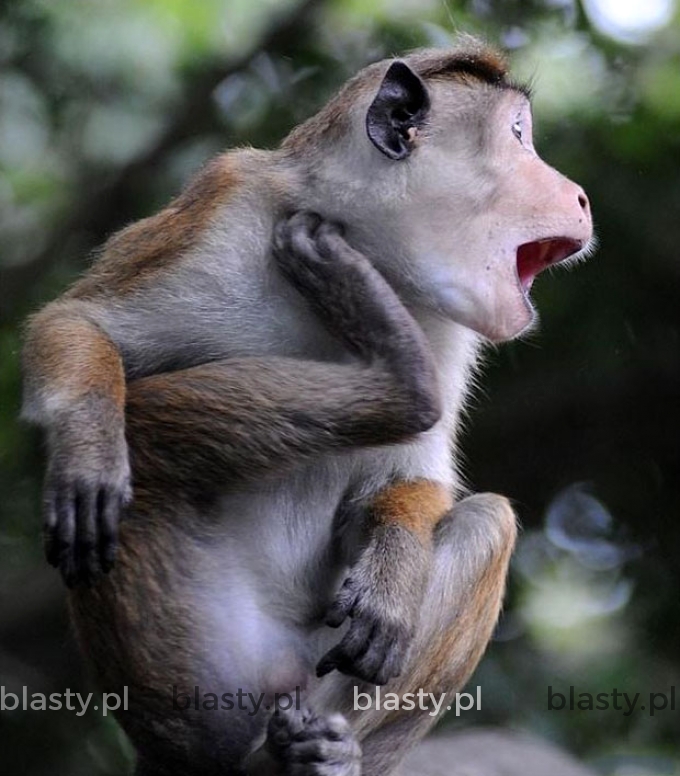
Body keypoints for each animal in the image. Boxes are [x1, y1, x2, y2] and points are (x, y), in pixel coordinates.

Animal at [23, 34, 592, 776]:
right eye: (520, 137)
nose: (581, 196)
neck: (364, 242)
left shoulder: (448, 328)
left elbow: (416, 477)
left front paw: (395, 570)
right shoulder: (226, 209)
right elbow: (77, 324)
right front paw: (88, 456)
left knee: (487, 521)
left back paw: (316, 753)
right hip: (189, 669)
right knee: (141, 419)